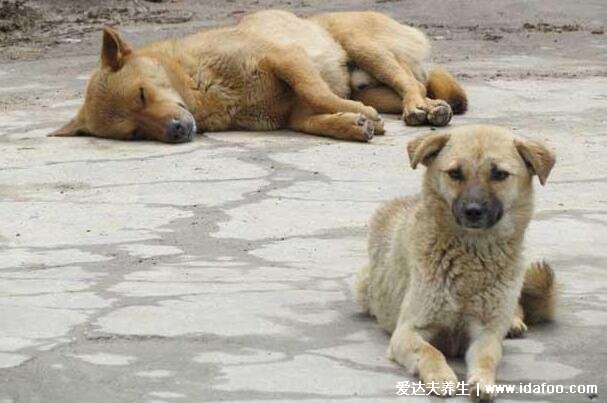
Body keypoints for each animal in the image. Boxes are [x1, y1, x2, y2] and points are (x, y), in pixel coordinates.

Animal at [52, 9, 468, 144]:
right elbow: (313, 120)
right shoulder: (293, 113)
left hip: (364, 46)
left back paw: (421, 108)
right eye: (135, 133)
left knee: (412, 85)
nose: (176, 131)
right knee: (410, 89)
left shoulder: (286, 59)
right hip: (371, 82)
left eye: (141, 94)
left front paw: (357, 115)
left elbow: (317, 93)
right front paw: (351, 123)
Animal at [358, 125, 560, 400]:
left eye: (499, 174)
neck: (470, 257)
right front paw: (440, 376)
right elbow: (430, 351)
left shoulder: (486, 335)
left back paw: (514, 322)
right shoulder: (407, 331)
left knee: (515, 308)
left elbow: (486, 358)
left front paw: (483, 381)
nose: (473, 211)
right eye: (455, 173)